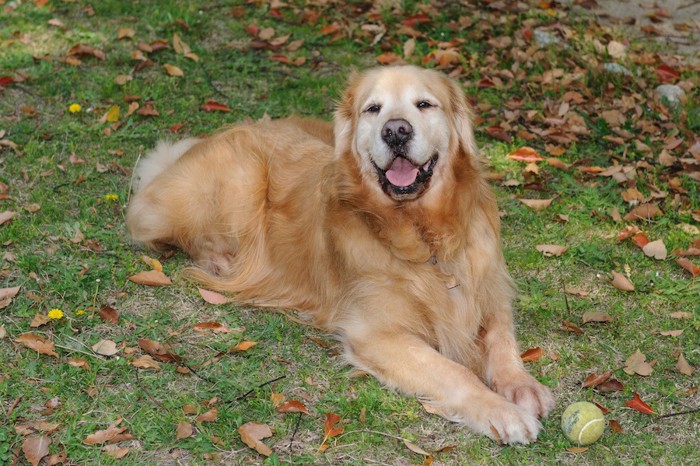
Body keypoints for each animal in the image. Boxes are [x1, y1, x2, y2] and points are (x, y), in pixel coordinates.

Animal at [126, 65, 552, 444]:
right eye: (373, 109)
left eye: (425, 104)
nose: (396, 131)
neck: (425, 236)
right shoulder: (378, 333)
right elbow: (454, 372)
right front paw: (502, 412)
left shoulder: (489, 291)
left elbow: (502, 341)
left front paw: (522, 386)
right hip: (240, 178)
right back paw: (220, 261)